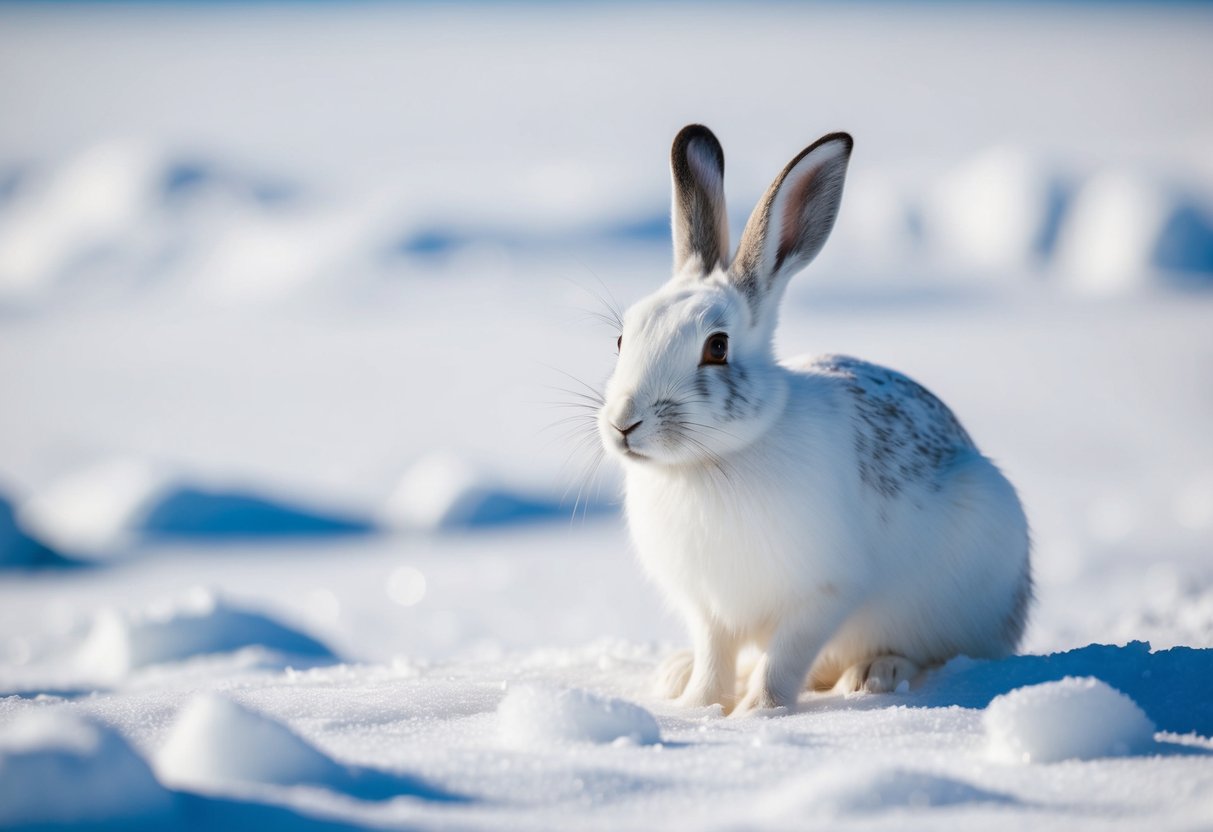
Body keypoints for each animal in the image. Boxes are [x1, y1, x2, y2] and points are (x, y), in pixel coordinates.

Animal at [596, 125, 1032, 716]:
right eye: (623, 338)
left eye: (717, 347)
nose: (624, 423)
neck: (713, 461)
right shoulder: (709, 610)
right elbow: (714, 658)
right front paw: (698, 706)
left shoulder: (823, 594)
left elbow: (786, 657)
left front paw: (759, 711)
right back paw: (675, 672)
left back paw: (875, 673)